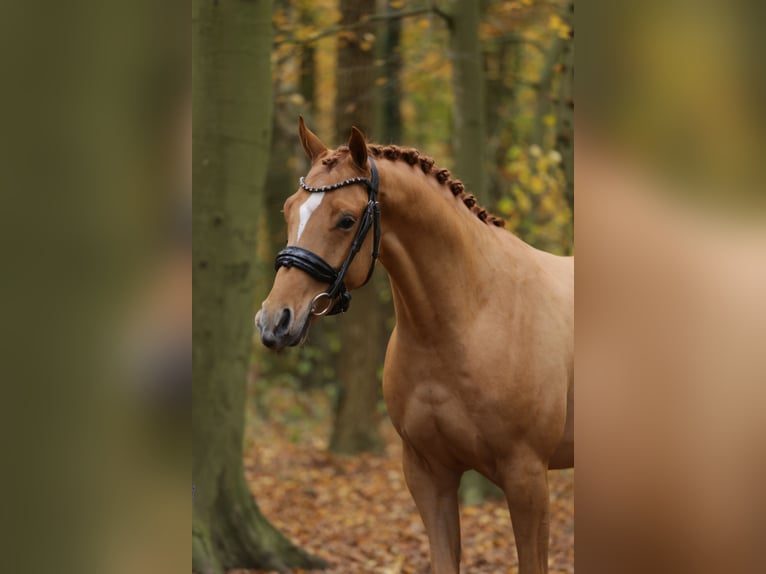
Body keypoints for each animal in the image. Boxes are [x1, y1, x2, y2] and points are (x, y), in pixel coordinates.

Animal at [258, 117, 576, 574]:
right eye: (288, 209)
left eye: (346, 219)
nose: (274, 320)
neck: (470, 317)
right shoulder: (428, 474)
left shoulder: (527, 476)